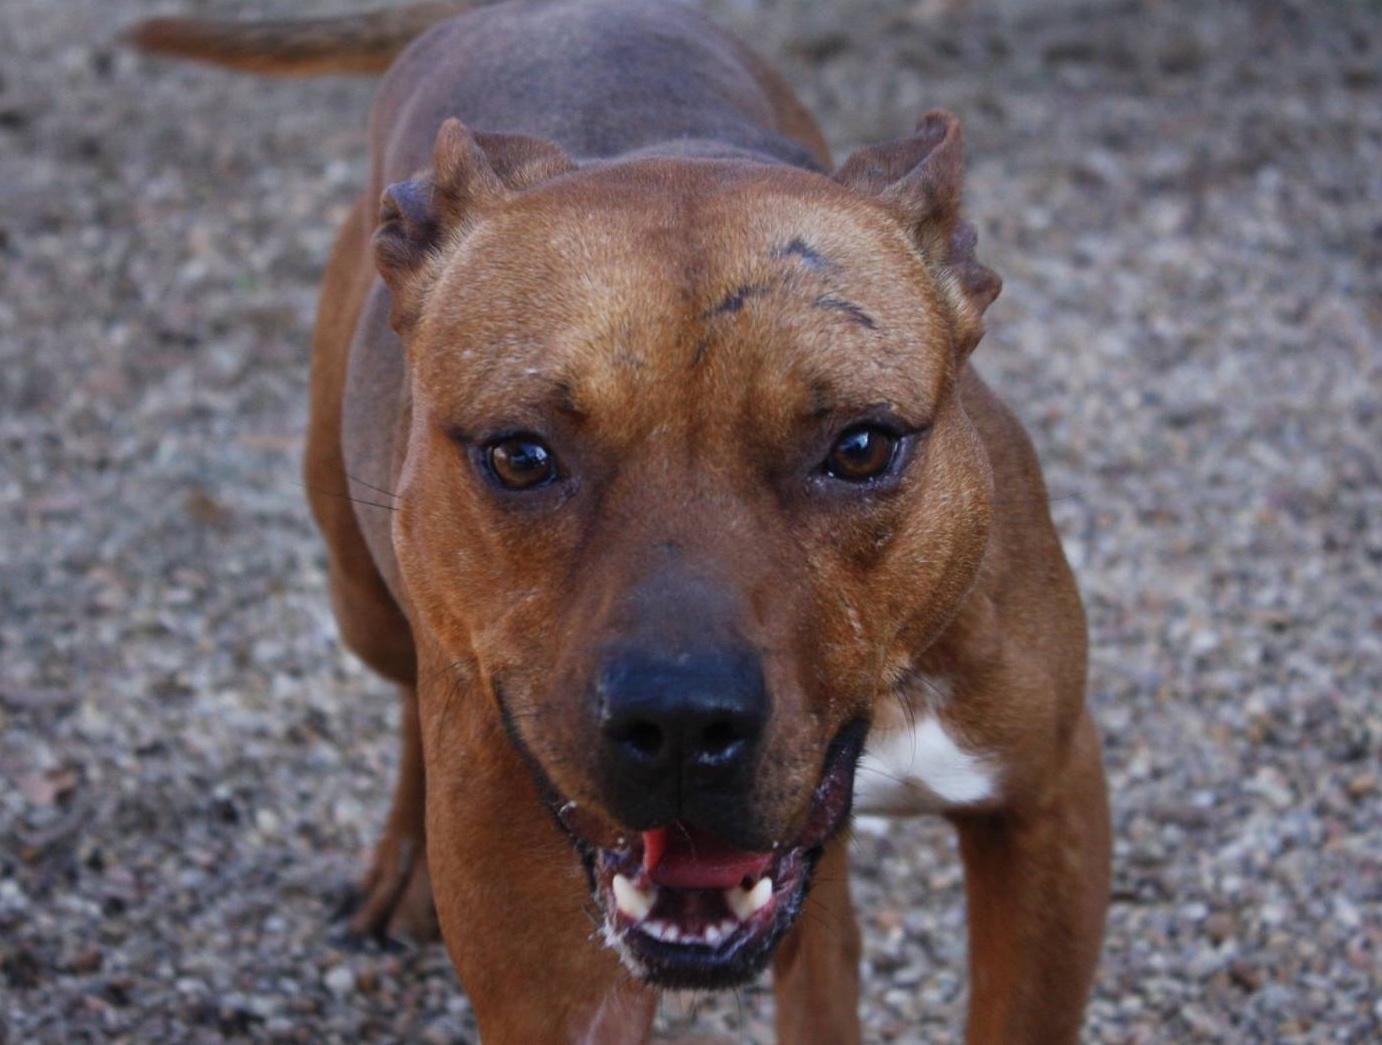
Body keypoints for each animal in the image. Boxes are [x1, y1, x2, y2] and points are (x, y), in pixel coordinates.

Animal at [131, 4, 1111, 1039]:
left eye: (860, 447)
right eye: (520, 456)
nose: (680, 718)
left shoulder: (1048, 804)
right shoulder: (547, 963)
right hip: (363, 592)